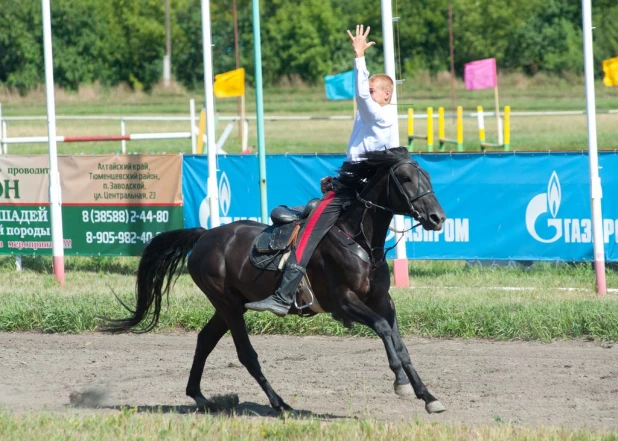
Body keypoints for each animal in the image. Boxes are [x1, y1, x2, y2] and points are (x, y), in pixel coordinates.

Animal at [102, 146, 448, 414]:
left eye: (429, 178)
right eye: (406, 179)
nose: (437, 218)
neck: (357, 238)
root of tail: (205, 235)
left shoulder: (381, 300)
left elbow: (398, 341)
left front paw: (427, 396)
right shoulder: (344, 302)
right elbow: (383, 329)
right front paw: (401, 383)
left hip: (228, 305)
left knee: (204, 340)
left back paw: (200, 396)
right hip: (228, 304)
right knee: (246, 355)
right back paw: (279, 403)